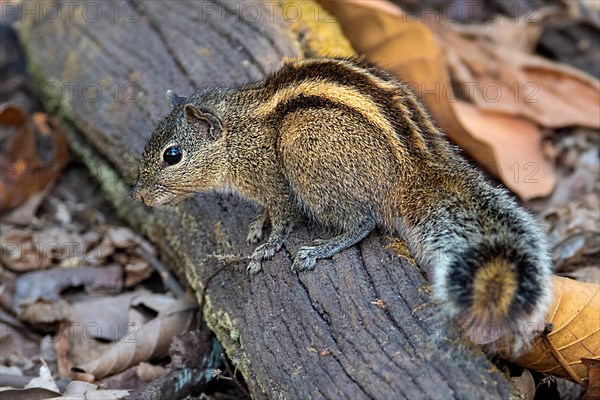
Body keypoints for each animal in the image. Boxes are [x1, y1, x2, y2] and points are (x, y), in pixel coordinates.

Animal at [131, 57, 552, 354]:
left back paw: (322, 248)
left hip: (304, 148)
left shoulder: (275, 181)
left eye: (172, 155)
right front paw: (256, 223)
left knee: (363, 222)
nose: (138, 195)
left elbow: (283, 218)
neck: (237, 135)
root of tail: (415, 171)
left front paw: (268, 246)